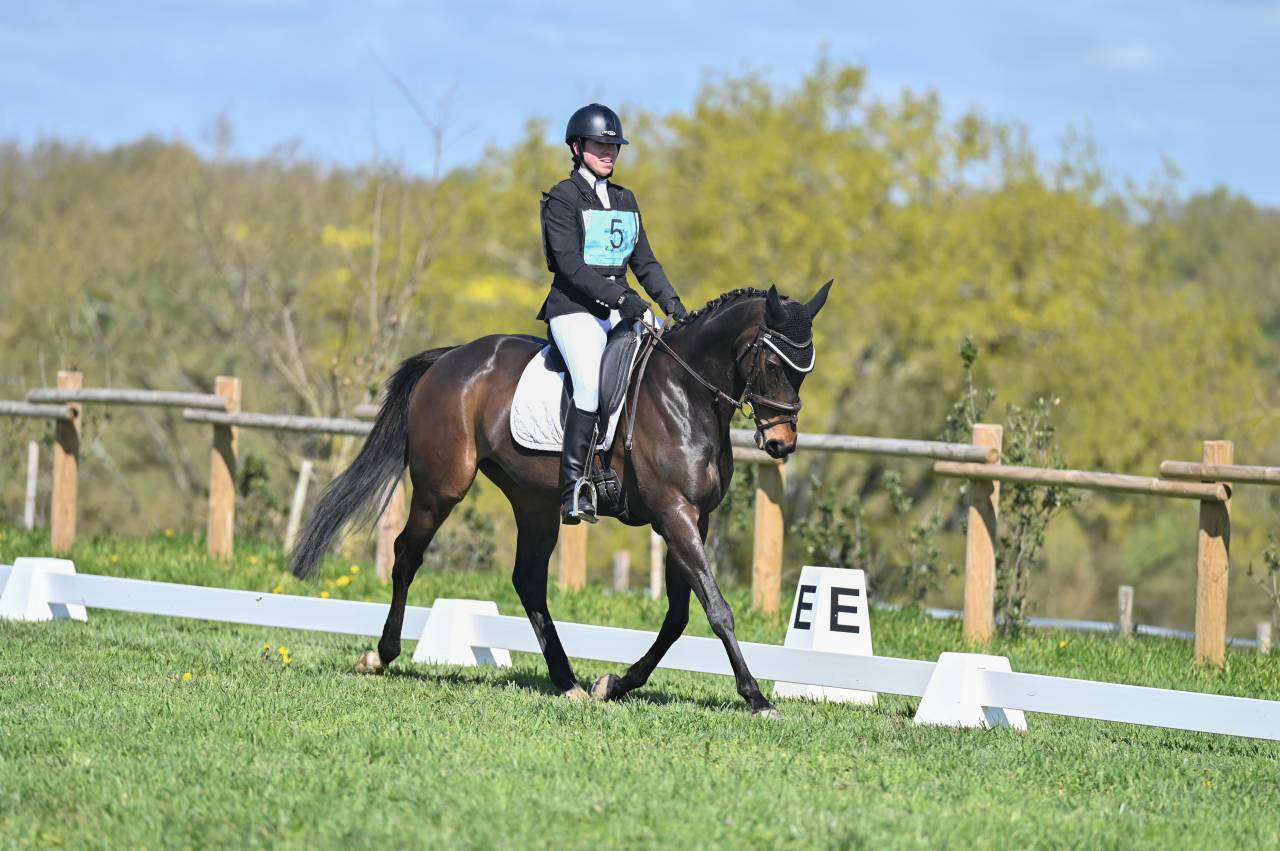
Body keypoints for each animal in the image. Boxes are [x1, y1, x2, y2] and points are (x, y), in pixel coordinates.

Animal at [289, 282, 832, 717]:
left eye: (805, 370)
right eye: (772, 363)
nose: (781, 444)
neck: (685, 393)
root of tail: (450, 358)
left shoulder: (693, 520)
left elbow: (679, 615)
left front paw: (614, 684)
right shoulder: (674, 514)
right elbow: (716, 609)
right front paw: (756, 697)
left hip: (533, 502)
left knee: (528, 580)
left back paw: (567, 680)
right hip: (442, 487)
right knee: (406, 555)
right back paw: (380, 655)